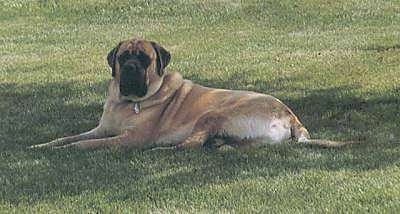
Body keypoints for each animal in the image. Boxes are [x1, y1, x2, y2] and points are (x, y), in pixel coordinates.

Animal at [31, 37, 356, 150]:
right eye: (124, 57)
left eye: (145, 59)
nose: (132, 67)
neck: (127, 103)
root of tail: (291, 116)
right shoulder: (100, 129)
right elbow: (68, 138)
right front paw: (43, 145)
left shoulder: (129, 138)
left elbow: (87, 145)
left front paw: (68, 150)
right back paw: (220, 145)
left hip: (215, 112)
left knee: (188, 146)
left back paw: (161, 150)